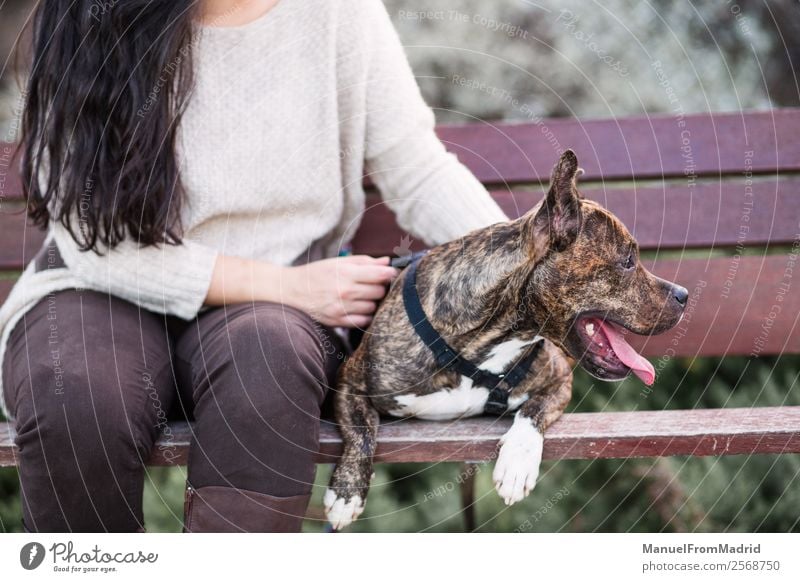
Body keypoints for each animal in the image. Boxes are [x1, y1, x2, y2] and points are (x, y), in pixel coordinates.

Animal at [324, 152, 688, 532]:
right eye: (628, 261)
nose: (685, 295)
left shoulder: (559, 380)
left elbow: (533, 411)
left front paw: (517, 463)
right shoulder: (350, 381)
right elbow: (361, 429)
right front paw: (347, 492)